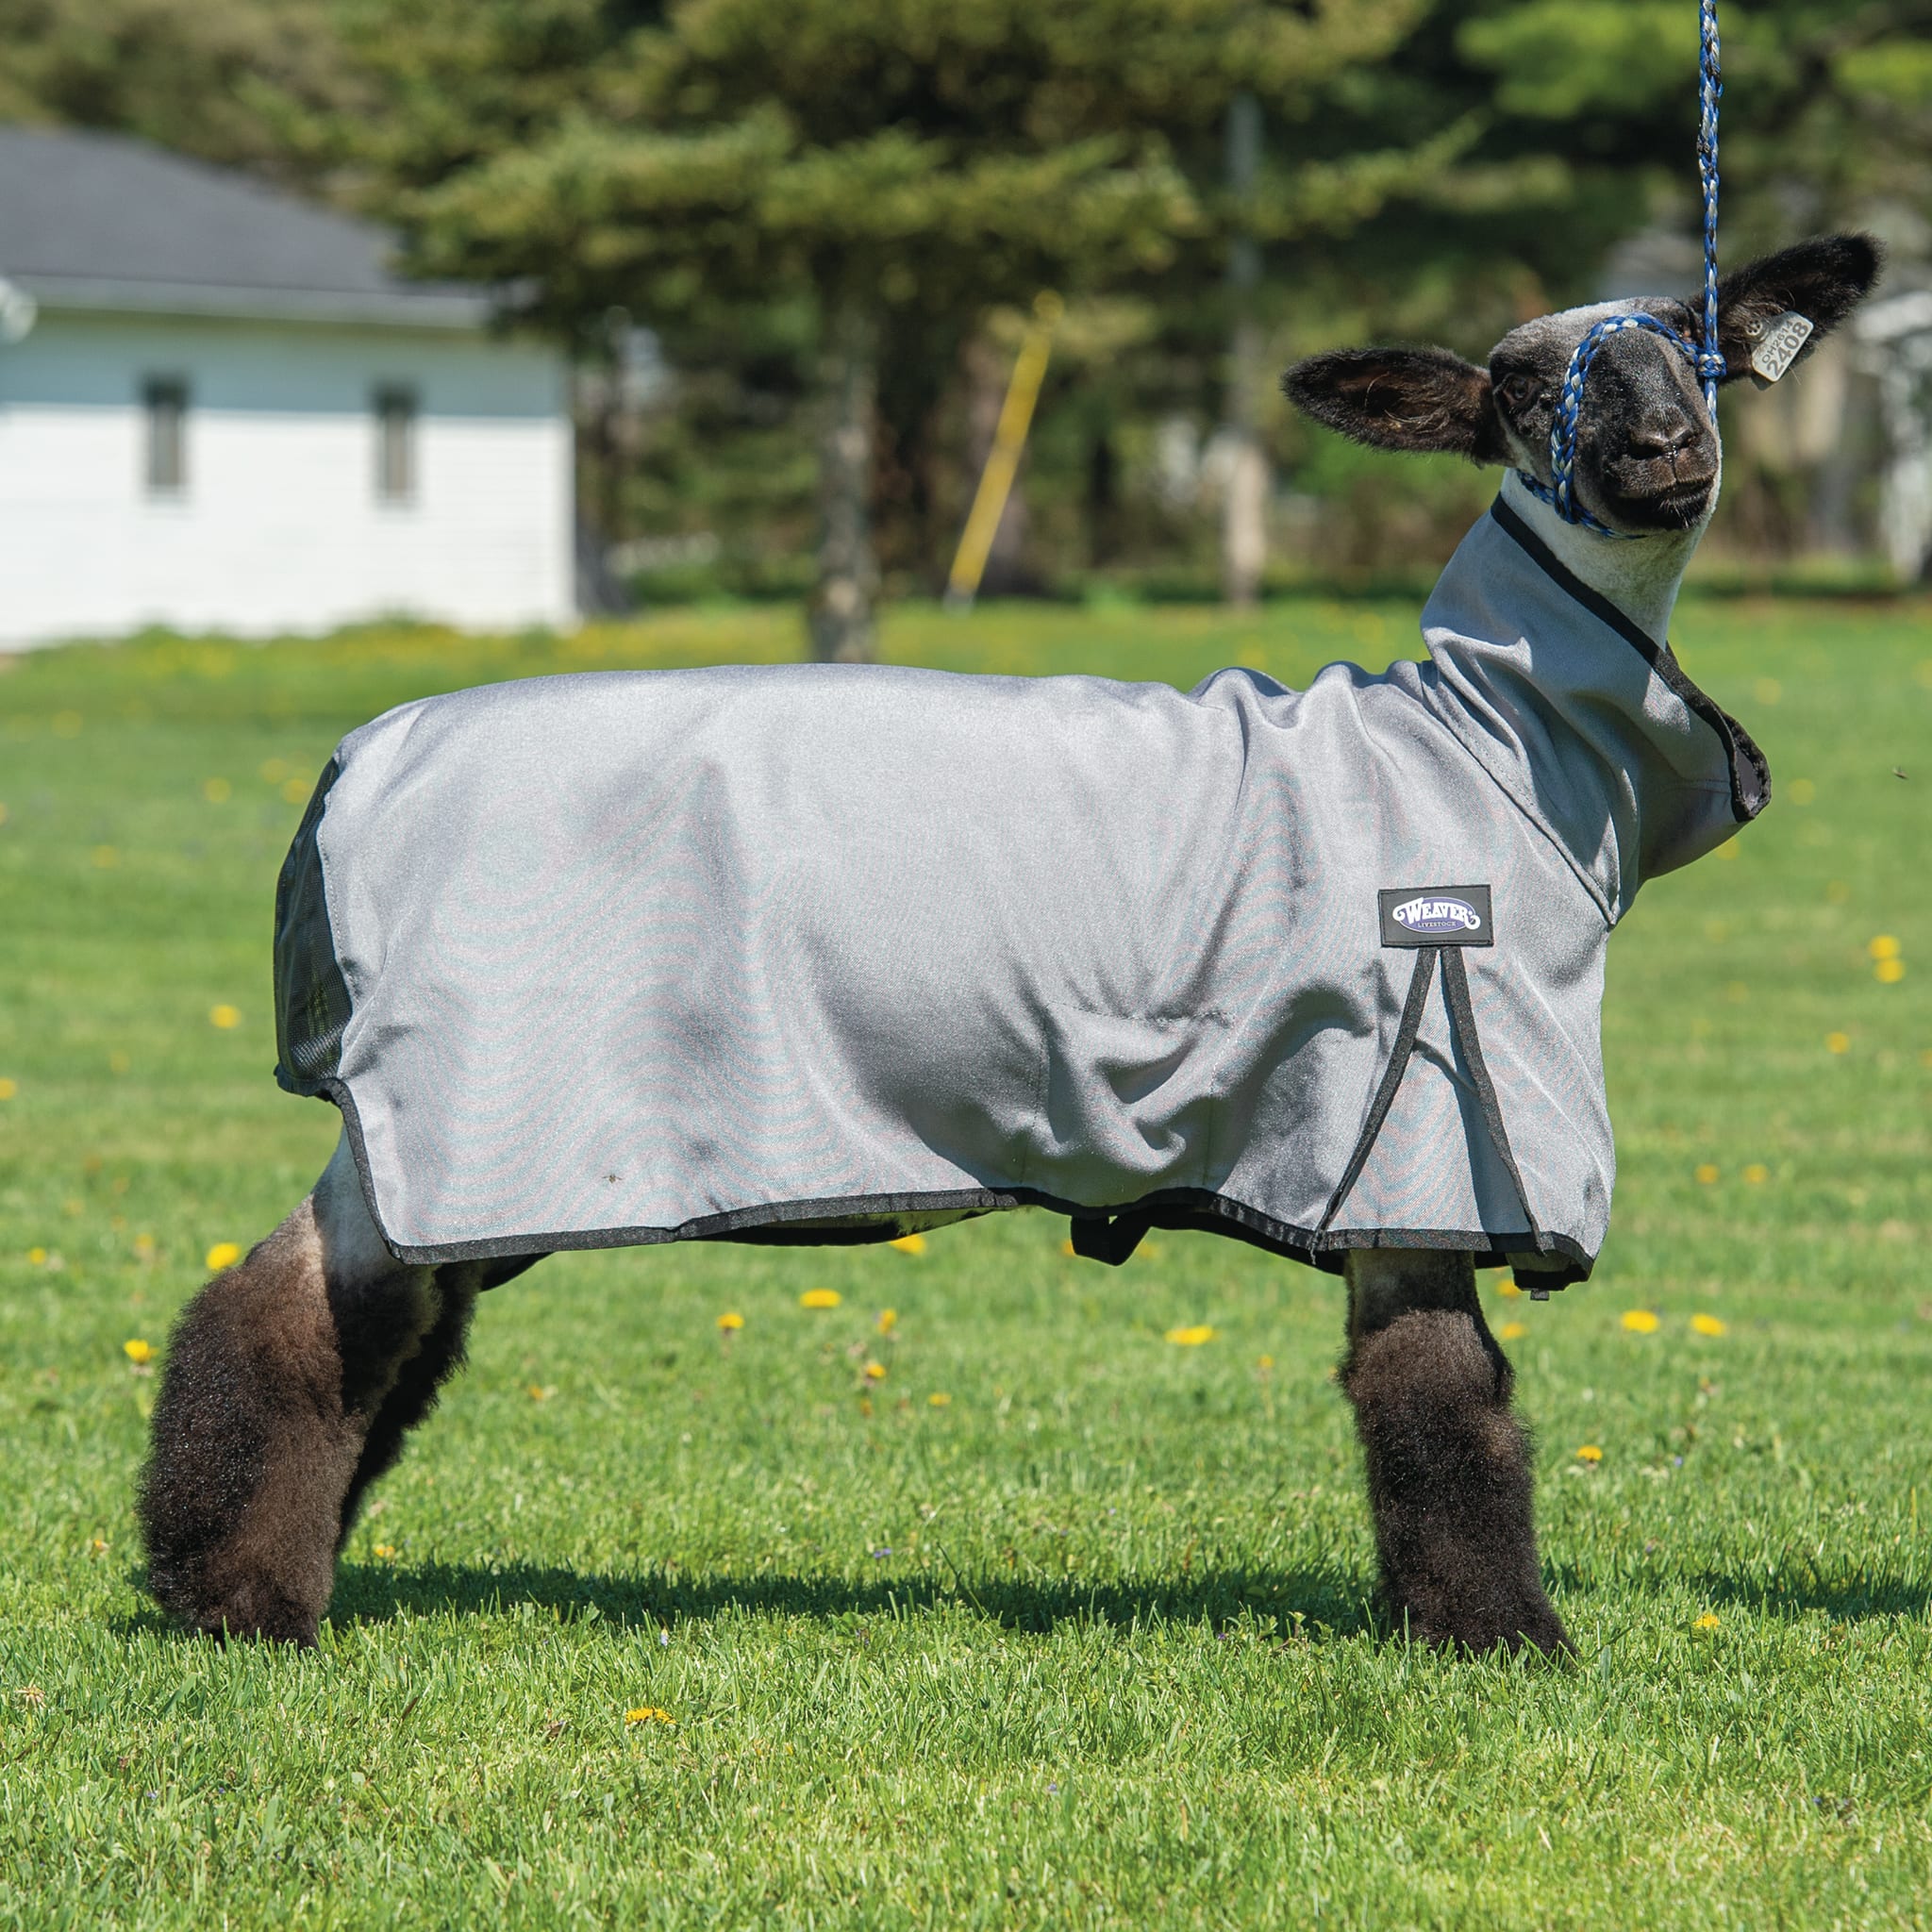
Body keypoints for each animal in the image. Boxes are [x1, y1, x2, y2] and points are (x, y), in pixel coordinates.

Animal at [140, 234, 1878, 1657]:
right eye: (1520, 388)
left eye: (1695, 347)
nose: (1665, 454)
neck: (1479, 742)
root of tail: (352, 764)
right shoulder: (1427, 1129)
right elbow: (1446, 1404)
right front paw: (1500, 1643)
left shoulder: (1396, 1143)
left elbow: (1423, 1400)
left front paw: (1435, 1626)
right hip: (471, 1093)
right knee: (296, 1315)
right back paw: (237, 1603)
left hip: (460, 1131)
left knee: (362, 1316)